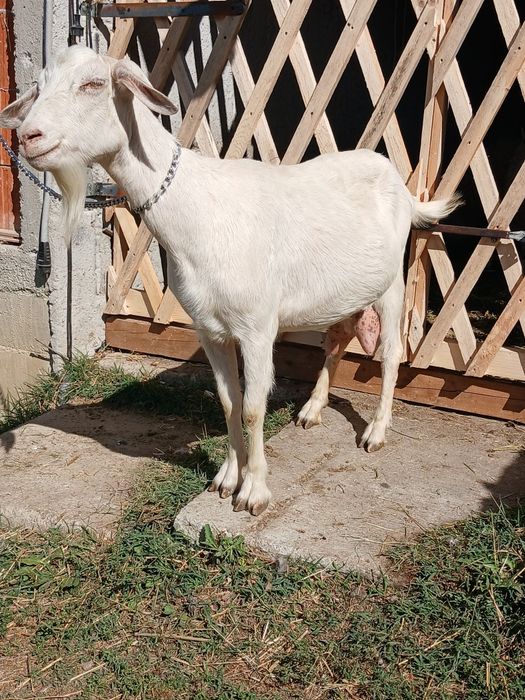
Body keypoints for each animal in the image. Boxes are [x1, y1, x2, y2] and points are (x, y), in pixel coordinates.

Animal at [0, 46, 460, 515]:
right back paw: (312, 409)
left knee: (391, 353)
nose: (30, 137)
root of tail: (401, 185)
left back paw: (376, 433)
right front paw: (225, 478)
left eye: (94, 84)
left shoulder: (256, 327)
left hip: (391, 284)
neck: (197, 210)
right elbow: (229, 401)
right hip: (345, 291)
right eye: (38, 86)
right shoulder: (210, 329)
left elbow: (254, 407)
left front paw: (253, 491)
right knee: (338, 337)